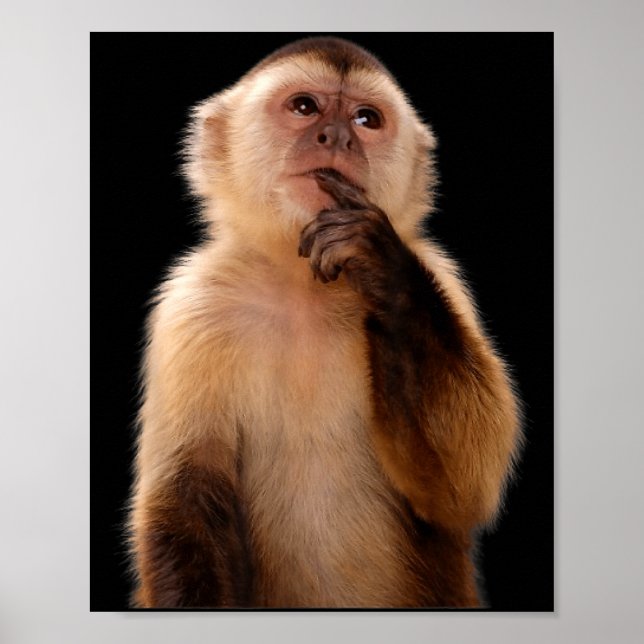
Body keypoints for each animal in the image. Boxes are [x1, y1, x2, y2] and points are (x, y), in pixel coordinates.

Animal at [128, 36, 522, 609]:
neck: (304, 289)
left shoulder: (446, 281)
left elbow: (460, 488)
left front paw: (382, 268)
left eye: (366, 119)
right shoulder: (193, 306)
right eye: (305, 107)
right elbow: (184, 503)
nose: (336, 135)